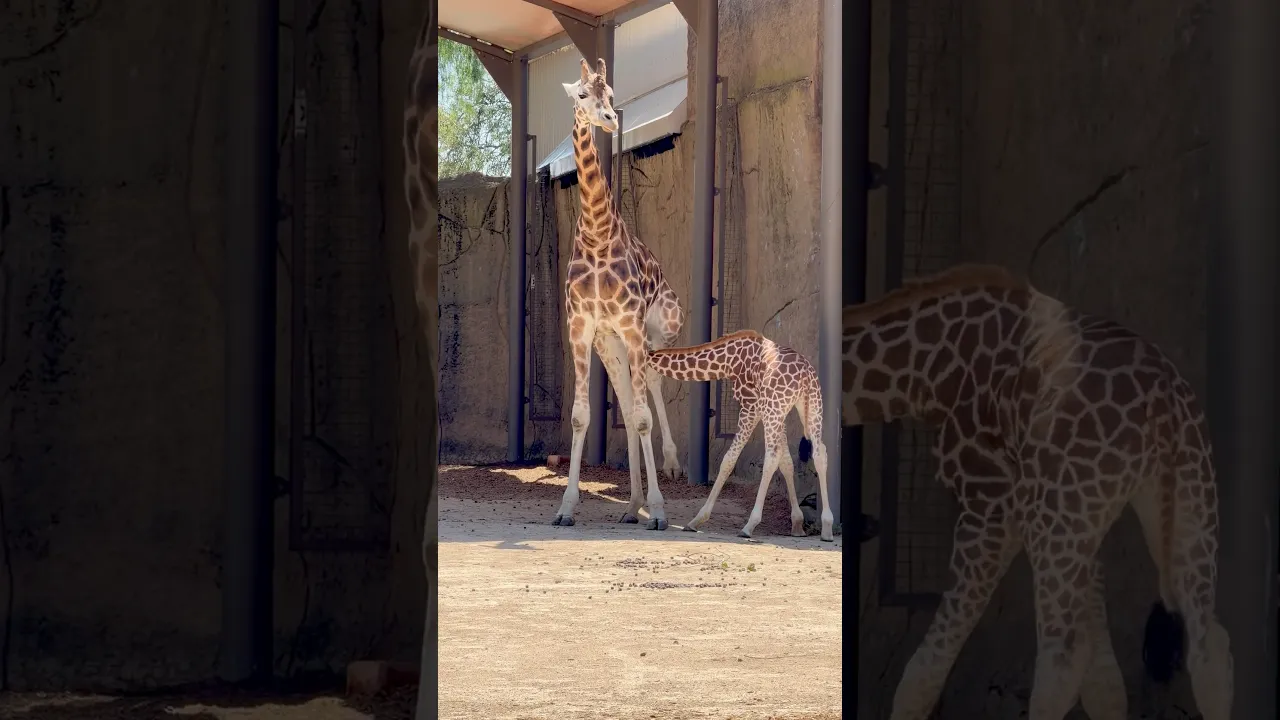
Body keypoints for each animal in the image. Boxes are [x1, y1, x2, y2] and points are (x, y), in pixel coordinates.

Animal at [552, 58, 686, 529]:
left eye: (611, 94)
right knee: (628, 409)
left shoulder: (631, 324)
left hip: (656, 335)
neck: (597, 234)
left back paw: (671, 467)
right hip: (610, 345)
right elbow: (583, 417)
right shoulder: (581, 326)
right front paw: (566, 507)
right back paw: (631, 506)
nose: (610, 119)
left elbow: (645, 418)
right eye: (581, 95)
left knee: (655, 389)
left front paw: (660, 510)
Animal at [647, 330, 834, 542]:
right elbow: (787, 462)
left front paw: (697, 520)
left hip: (778, 409)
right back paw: (827, 527)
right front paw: (797, 523)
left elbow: (729, 459)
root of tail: (805, 375)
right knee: (819, 453)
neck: (729, 361)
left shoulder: (751, 406)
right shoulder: (775, 412)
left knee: (771, 457)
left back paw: (749, 525)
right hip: (809, 407)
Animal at [840, 264, 1232, 720]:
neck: (926, 372)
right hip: (1189, 497)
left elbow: (922, 674)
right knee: (1209, 648)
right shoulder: (1076, 518)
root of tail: (1163, 401)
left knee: (1059, 661)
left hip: (1062, 519)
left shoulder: (992, 505)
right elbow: (1104, 685)